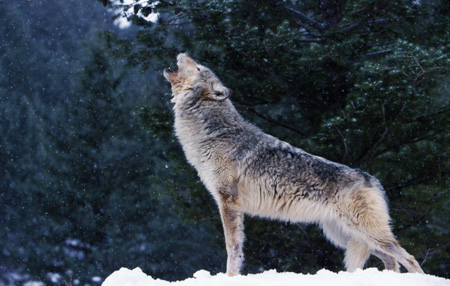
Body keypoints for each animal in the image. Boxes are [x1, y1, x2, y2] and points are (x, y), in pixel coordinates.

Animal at [163, 52, 424, 276]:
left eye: (198, 67)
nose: (184, 52)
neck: (215, 133)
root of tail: (373, 180)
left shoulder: (229, 203)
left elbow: (232, 249)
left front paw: (230, 276)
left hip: (364, 233)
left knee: (408, 258)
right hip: (346, 236)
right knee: (391, 259)